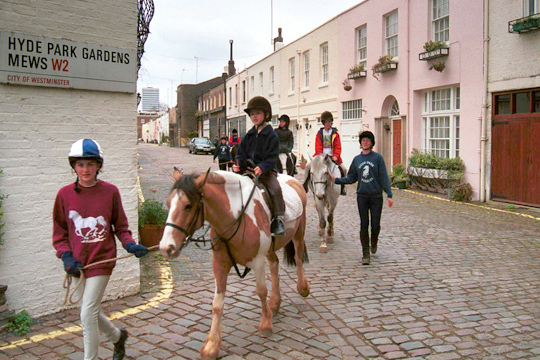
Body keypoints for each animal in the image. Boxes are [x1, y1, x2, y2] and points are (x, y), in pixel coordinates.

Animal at [158, 169, 310, 360]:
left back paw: (302, 288)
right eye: (168, 203)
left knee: (298, 259)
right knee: (274, 264)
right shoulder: (219, 264)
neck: (236, 217)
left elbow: (261, 291)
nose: (166, 247)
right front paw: (212, 345)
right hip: (270, 249)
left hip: (299, 234)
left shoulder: (257, 261)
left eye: (188, 206)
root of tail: (292, 180)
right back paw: (275, 303)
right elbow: (217, 304)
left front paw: (265, 324)